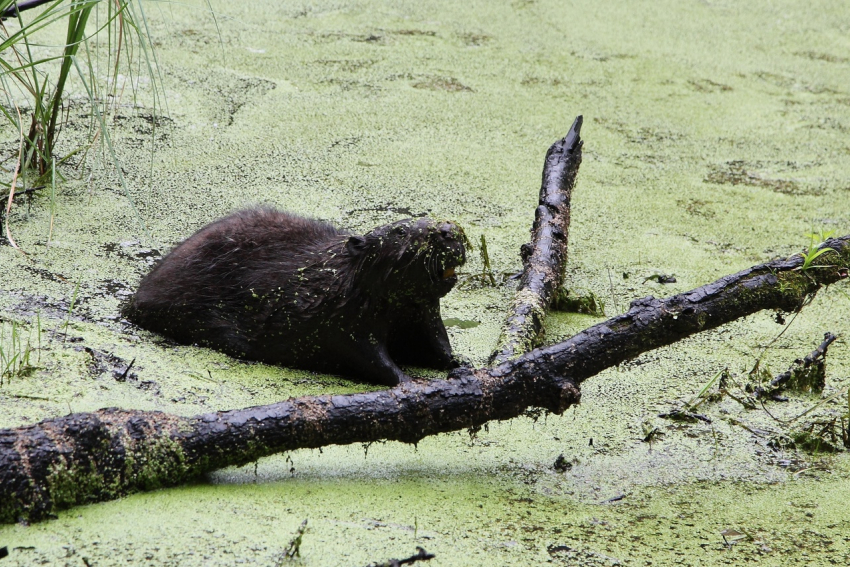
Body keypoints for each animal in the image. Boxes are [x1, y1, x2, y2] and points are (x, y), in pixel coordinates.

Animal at [121, 209, 464, 386]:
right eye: (400, 232)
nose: (448, 231)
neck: (343, 276)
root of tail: (133, 302)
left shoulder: (421, 314)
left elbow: (438, 344)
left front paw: (462, 364)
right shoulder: (345, 317)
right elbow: (369, 356)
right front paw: (412, 382)